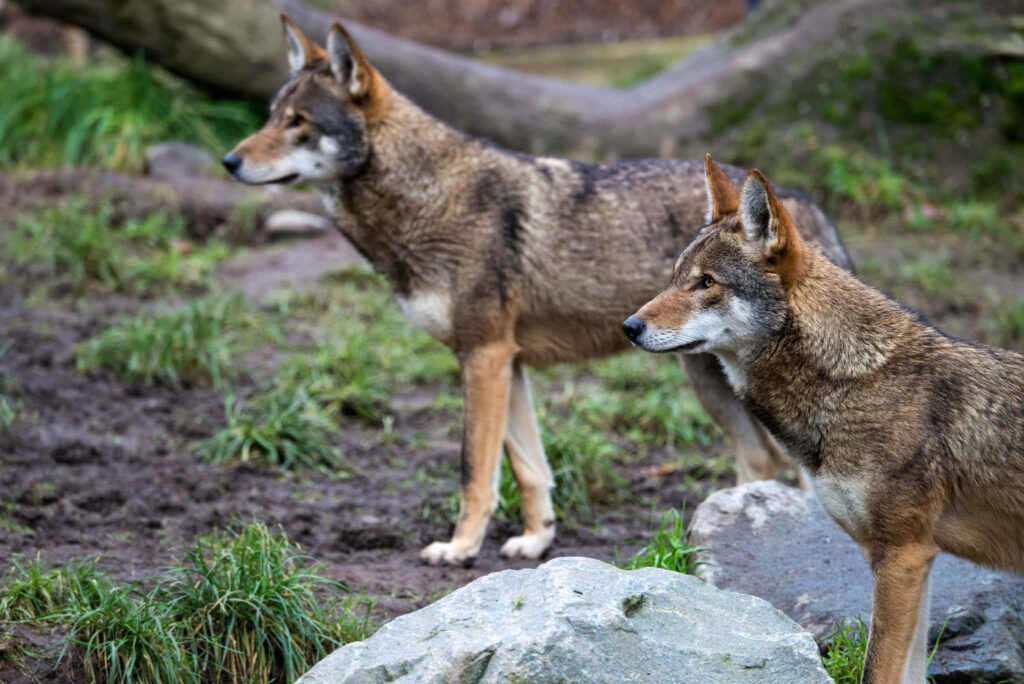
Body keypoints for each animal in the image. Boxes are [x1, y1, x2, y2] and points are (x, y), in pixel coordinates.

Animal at [222, 16, 853, 566]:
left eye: (299, 121)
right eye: (272, 115)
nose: (229, 160)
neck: (428, 198)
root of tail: (805, 205)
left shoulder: (484, 355)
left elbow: (473, 468)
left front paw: (459, 549)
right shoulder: (507, 361)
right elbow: (529, 467)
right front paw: (536, 540)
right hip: (708, 380)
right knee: (760, 461)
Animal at [624, 157, 1024, 683]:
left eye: (707, 282)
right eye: (675, 278)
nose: (629, 327)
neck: (853, 381)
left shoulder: (903, 557)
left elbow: (876, 669)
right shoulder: (912, 561)